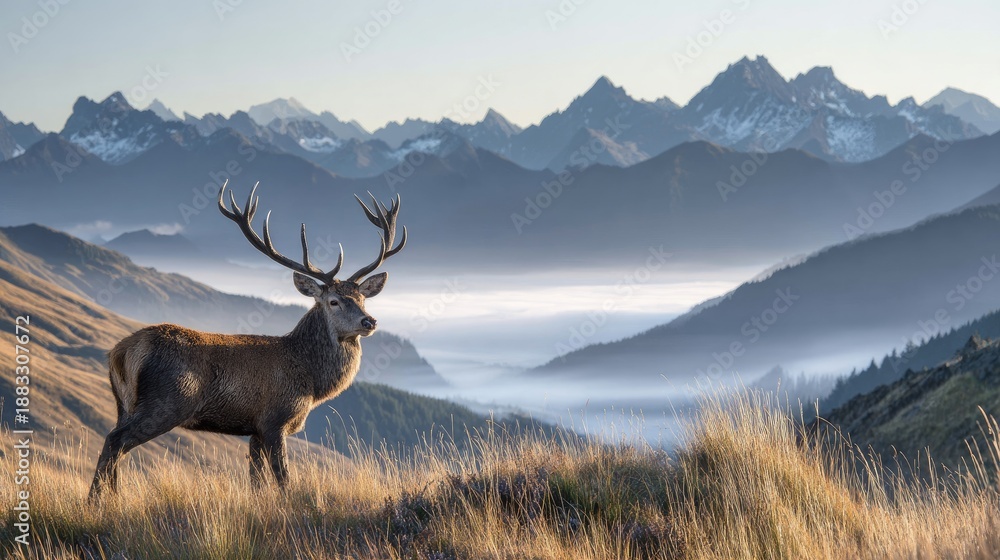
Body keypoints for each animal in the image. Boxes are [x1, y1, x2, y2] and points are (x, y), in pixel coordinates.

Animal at [88, 181, 407, 499]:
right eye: (333, 301)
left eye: (362, 298)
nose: (369, 322)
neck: (311, 379)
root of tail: (120, 352)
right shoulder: (274, 419)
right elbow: (283, 478)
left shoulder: (254, 429)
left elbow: (256, 480)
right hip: (165, 401)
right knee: (115, 441)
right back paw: (96, 502)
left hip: (124, 405)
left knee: (117, 447)